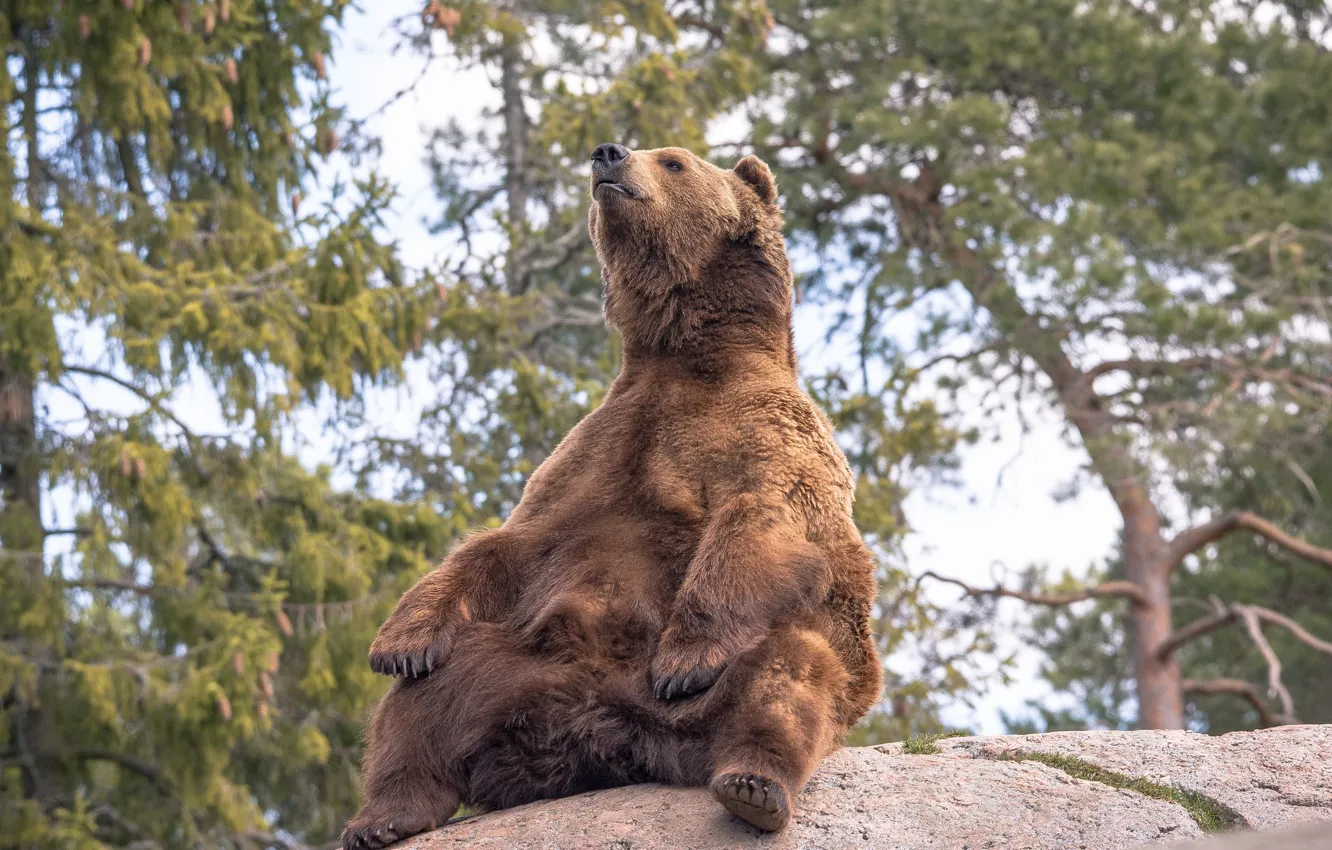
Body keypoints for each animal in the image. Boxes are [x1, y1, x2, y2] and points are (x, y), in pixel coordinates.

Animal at [340, 144, 883, 850]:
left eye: (674, 161)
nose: (607, 154)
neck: (682, 350)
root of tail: (604, 739)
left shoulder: (767, 434)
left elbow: (764, 523)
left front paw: (684, 658)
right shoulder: (600, 443)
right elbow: (510, 542)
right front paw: (398, 641)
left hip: (741, 683)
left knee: (791, 672)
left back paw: (753, 785)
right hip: (506, 665)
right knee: (420, 704)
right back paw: (384, 815)